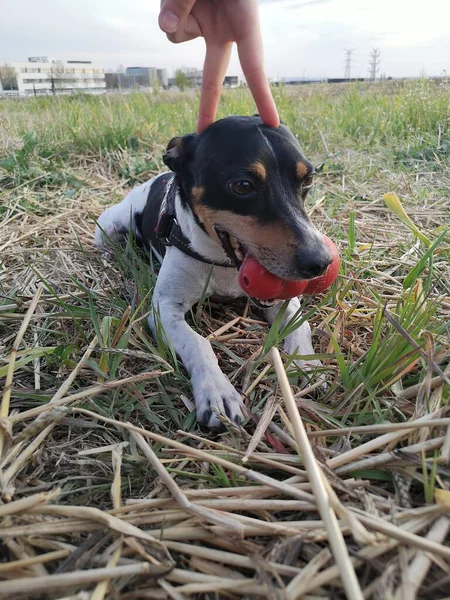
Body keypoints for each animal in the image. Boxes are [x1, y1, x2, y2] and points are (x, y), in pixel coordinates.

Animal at [96, 115, 330, 428]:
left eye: (308, 180)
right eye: (242, 186)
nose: (320, 262)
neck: (223, 264)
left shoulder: (283, 299)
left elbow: (300, 324)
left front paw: (306, 362)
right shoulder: (164, 310)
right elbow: (198, 343)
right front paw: (217, 391)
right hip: (108, 228)